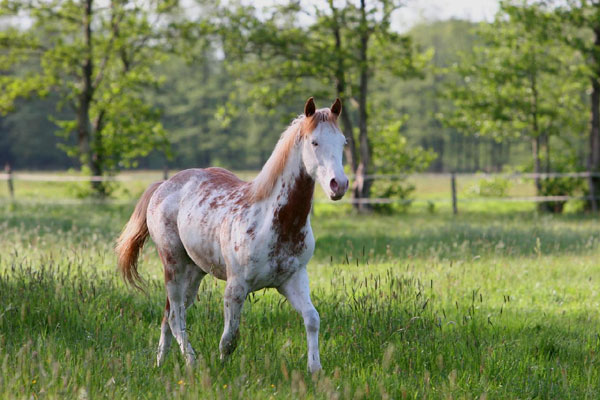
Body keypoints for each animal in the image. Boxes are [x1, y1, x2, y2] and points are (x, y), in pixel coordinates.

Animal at [115, 98, 350, 374]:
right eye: (314, 142)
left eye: (343, 142)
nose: (339, 185)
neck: (275, 222)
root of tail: (163, 186)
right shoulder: (236, 287)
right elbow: (229, 339)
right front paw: (222, 371)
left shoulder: (293, 279)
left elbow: (312, 319)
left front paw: (315, 370)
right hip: (173, 264)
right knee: (175, 317)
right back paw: (192, 362)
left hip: (194, 272)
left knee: (168, 314)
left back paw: (160, 363)